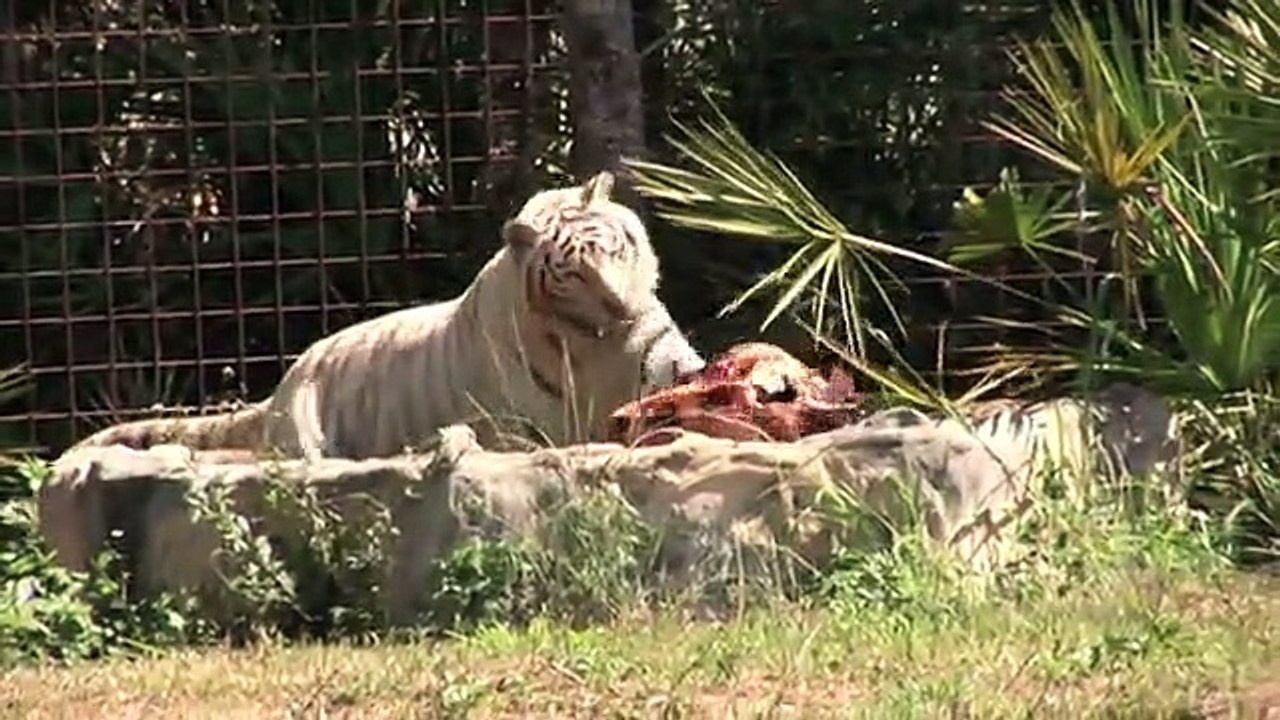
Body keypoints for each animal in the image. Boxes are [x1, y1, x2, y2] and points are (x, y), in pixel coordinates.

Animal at [68, 171, 707, 460]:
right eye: (574, 273)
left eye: (616, 251)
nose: (620, 305)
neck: (595, 338)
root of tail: (278, 390)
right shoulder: (521, 420)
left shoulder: (654, 344)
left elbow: (677, 370)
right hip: (304, 432)